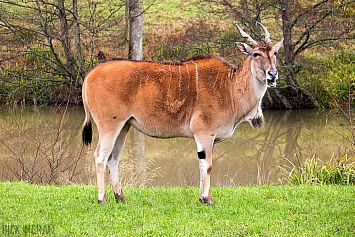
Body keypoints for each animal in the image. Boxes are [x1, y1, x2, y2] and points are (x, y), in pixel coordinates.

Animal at [82, 22, 284, 205]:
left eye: (274, 53)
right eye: (256, 54)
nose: (272, 74)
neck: (229, 87)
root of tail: (91, 73)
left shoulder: (209, 138)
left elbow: (203, 165)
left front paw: (202, 198)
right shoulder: (204, 133)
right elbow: (207, 165)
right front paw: (207, 199)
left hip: (124, 126)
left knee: (113, 158)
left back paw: (120, 197)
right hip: (109, 125)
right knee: (100, 157)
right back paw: (102, 199)